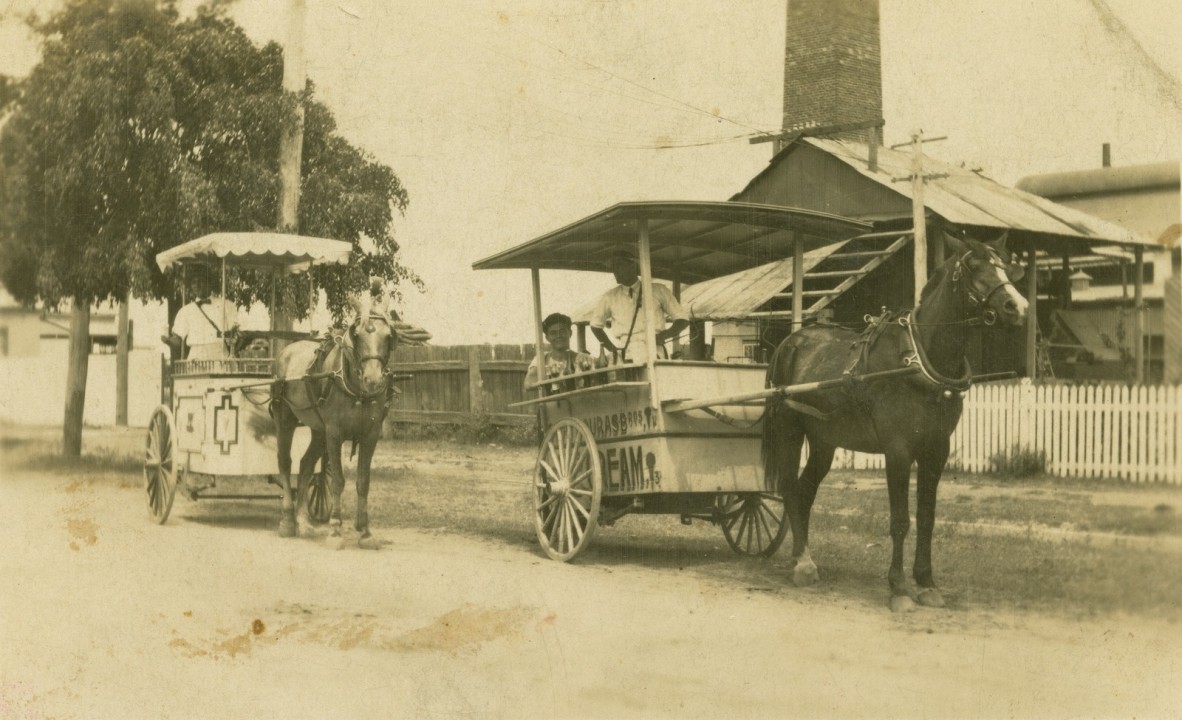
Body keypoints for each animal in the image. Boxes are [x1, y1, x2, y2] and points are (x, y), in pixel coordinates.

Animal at [269, 297, 394, 543]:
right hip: (286, 420)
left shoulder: (371, 434)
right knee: (285, 463)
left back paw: (302, 521)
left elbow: (363, 481)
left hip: (319, 431)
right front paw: (335, 529)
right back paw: (288, 521)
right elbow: (337, 481)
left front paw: (365, 532)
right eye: (357, 334)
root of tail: (287, 350)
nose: (373, 380)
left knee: (306, 464)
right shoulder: (335, 432)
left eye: (388, 336)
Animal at [765, 232, 1025, 610]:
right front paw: (899, 587)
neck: (918, 360)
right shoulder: (898, 451)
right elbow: (901, 520)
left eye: (1004, 265)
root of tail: (790, 341)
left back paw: (804, 556)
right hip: (788, 431)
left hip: (824, 442)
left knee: (804, 492)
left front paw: (927, 582)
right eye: (974, 266)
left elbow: (927, 518)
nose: (1017, 307)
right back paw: (803, 564)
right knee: (788, 488)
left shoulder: (936, 450)